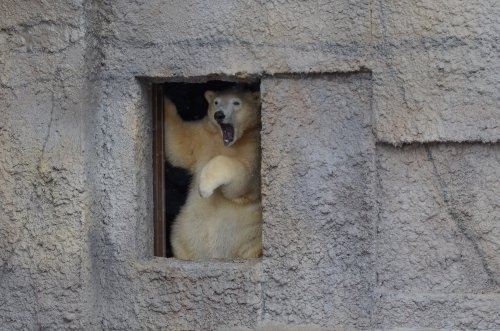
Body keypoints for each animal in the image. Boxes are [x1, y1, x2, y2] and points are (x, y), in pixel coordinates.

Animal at [166, 89, 264, 260]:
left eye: (236, 102)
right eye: (216, 102)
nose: (219, 115)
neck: (226, 142)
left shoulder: (253, 145)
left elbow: (243, 176)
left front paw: (205, 188)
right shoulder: (203, 137)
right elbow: (179, 141)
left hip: (251, 233)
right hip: (184, 228)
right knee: (180, 239)